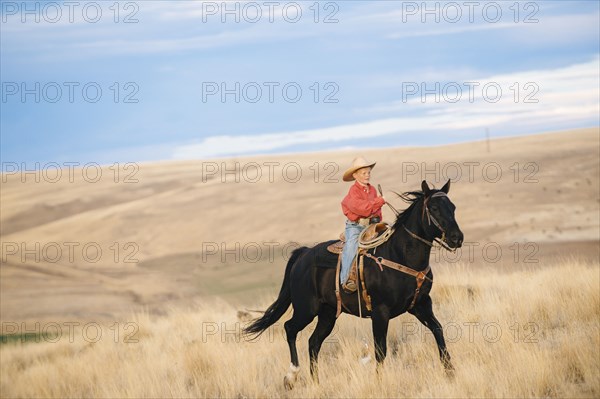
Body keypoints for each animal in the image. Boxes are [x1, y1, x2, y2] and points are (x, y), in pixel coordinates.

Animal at [244, 180, 464, 390]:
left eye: (453, 207)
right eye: (434, 208)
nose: (457, 238)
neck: (400, 254)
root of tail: (303, 254)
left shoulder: (420, 305)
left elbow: (438, 330)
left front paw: (450, 371)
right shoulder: (380, 312)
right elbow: (380, 350)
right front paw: (379, 381)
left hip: (328, 313)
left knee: (313, 343)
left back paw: (316, 382)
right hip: (307, 309)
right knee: (290, 328)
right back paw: (291, 376)